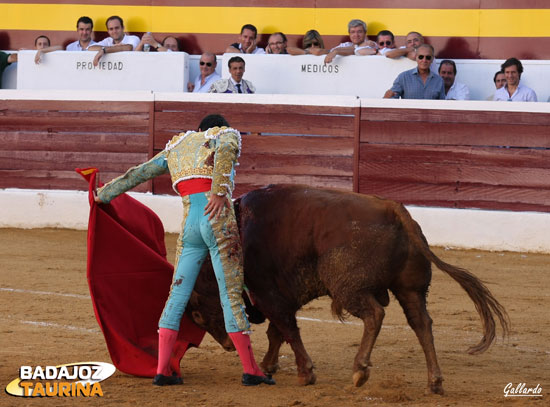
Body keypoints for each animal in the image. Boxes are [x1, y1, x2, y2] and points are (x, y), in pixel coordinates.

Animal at [187, 186, 512, 396]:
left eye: (199, 316)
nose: (227, 345)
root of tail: (396, 211)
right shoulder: (280, 296)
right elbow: (278, 332)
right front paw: (268, 366)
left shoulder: (268, 294)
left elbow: (287, 330)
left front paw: (305, 373)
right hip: (410, 289)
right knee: (421, 323)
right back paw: (434, 382)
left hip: (349, 289)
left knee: (375, 315)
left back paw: (359, 370)